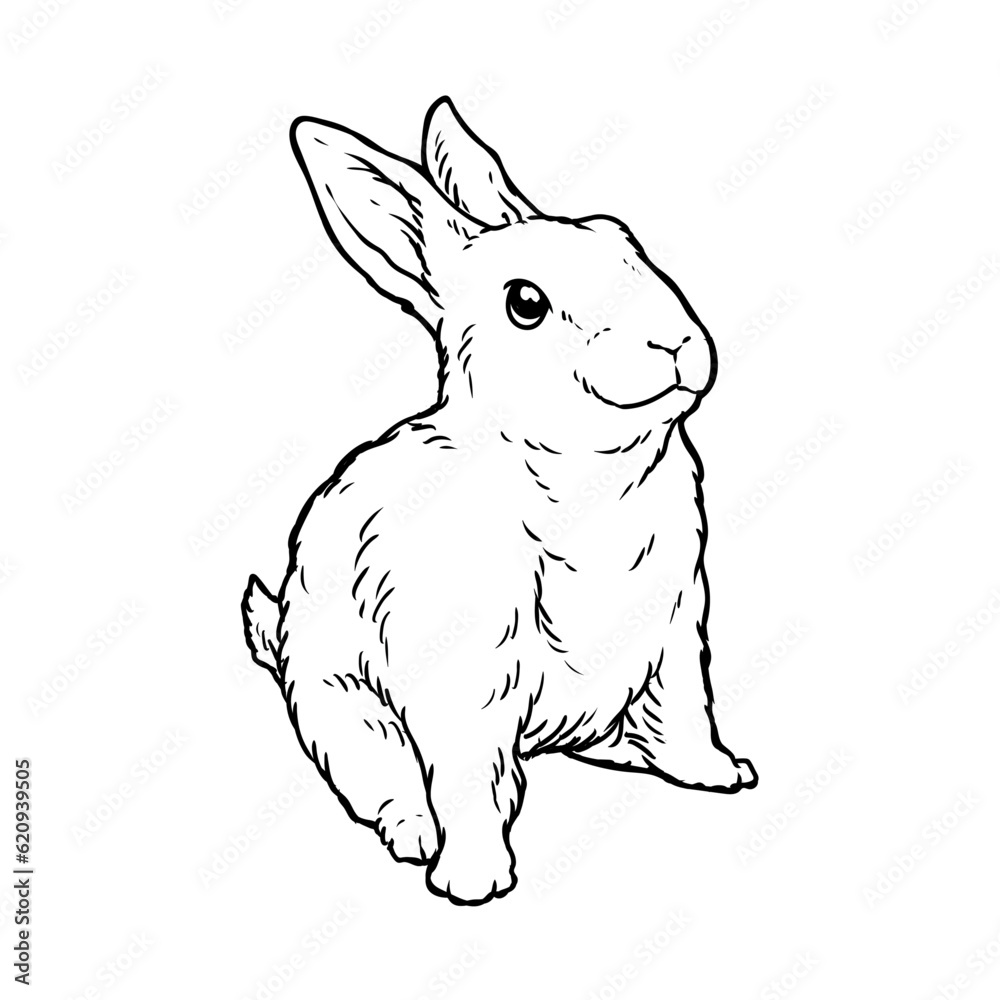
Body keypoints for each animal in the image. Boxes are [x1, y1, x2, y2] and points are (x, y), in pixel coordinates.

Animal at [242, 96, 757, 906]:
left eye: (621, 235)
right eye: (526, 303)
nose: (673, 344)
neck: (587, 479)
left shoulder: (676, 625)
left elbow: (685, 707)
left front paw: (719, 774)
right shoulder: (471, 673)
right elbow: (471, 779)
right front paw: (473, 881)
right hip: (341, 702)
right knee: (381, 777)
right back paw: (416, 836)